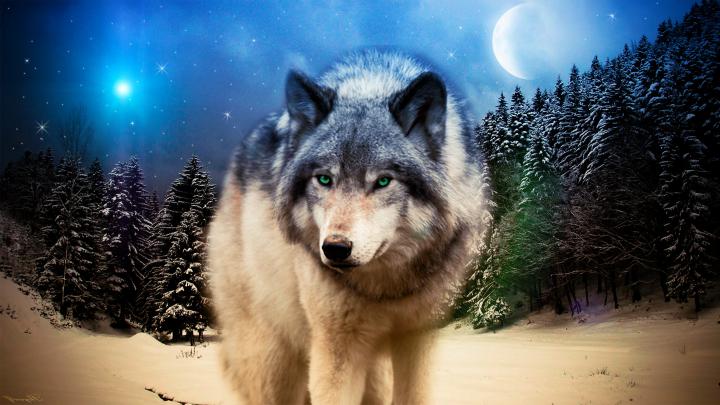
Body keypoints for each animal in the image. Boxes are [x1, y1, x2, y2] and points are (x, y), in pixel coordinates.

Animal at [208, 51, 488, 405]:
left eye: (383, 181)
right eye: (324, 179)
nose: (335, 248)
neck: (386, 288)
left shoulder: (419, 337)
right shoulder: (336, 347)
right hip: (273, 360)